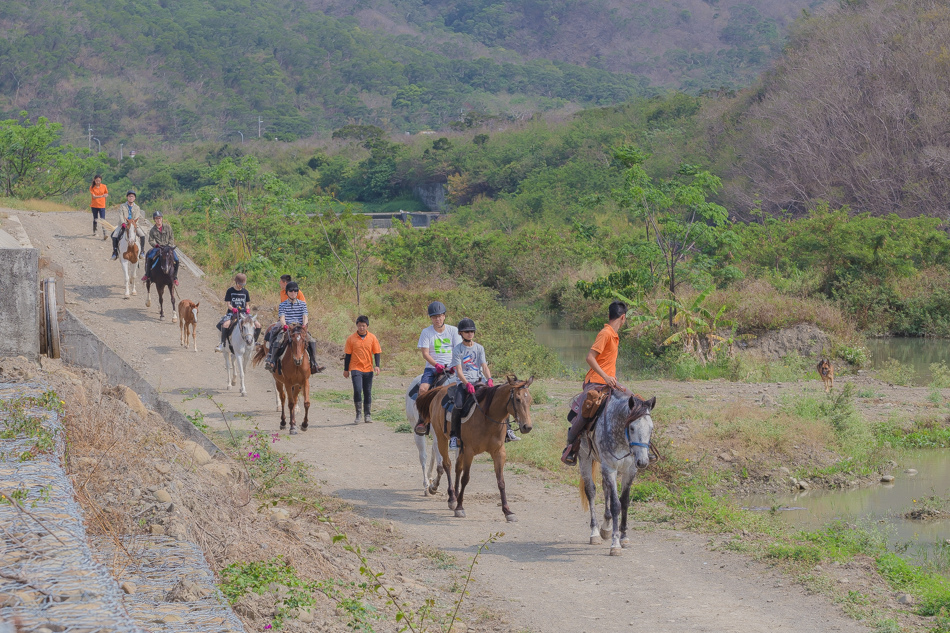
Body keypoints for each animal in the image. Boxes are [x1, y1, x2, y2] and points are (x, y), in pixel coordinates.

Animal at [418, 376, 536, 520]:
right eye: (518, 399)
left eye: (530, 400)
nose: (527, 427)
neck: (487, 418)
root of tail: (441, 390)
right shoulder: (469, 451)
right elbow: (465, 478)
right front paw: (459, 508)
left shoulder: (499, 452)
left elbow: (501, 481)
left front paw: (508, 511)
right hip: (441, 439)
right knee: (447, 465)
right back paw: (452, 498)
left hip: (460, 446)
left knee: (457, 467)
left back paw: (455, 495)